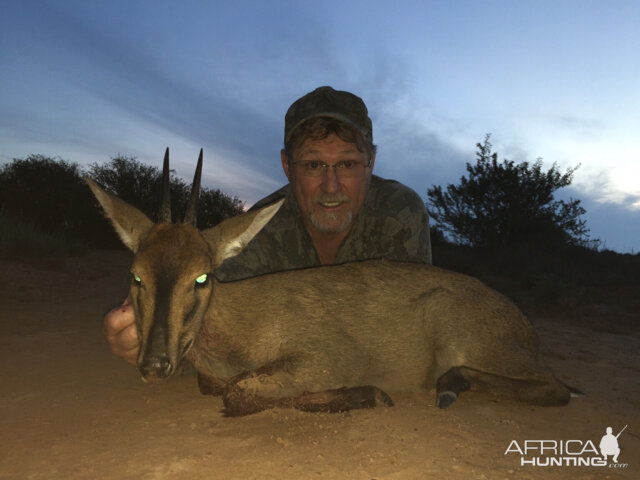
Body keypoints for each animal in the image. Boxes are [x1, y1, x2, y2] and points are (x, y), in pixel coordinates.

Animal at [86, 150, 576, 416]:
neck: (236, 326)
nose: (154, 365)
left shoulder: (327, 358)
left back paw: (450, 385)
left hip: (461, 332)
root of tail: (524, 328)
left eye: (201, 277)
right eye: (136, 275)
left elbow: (238, 391)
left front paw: (370, 393)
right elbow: (223, 387)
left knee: (556, 387)